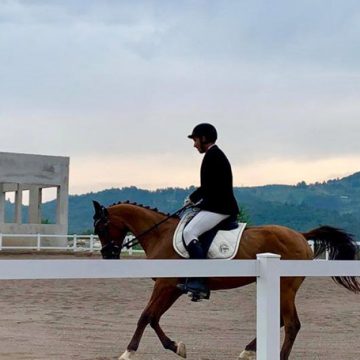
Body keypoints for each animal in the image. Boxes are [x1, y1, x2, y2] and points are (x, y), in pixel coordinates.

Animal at [90, 201, 360, 358]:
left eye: (102, 228)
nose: (108, 255)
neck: (160, 234)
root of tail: (301, 236)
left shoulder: (164, 285)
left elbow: (145, 316)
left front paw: (128, 352)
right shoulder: (173, 287)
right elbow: (154, 318)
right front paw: (177, 347)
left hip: (285, 287)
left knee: (292, 324)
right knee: (282, 321)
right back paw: (248, 350)